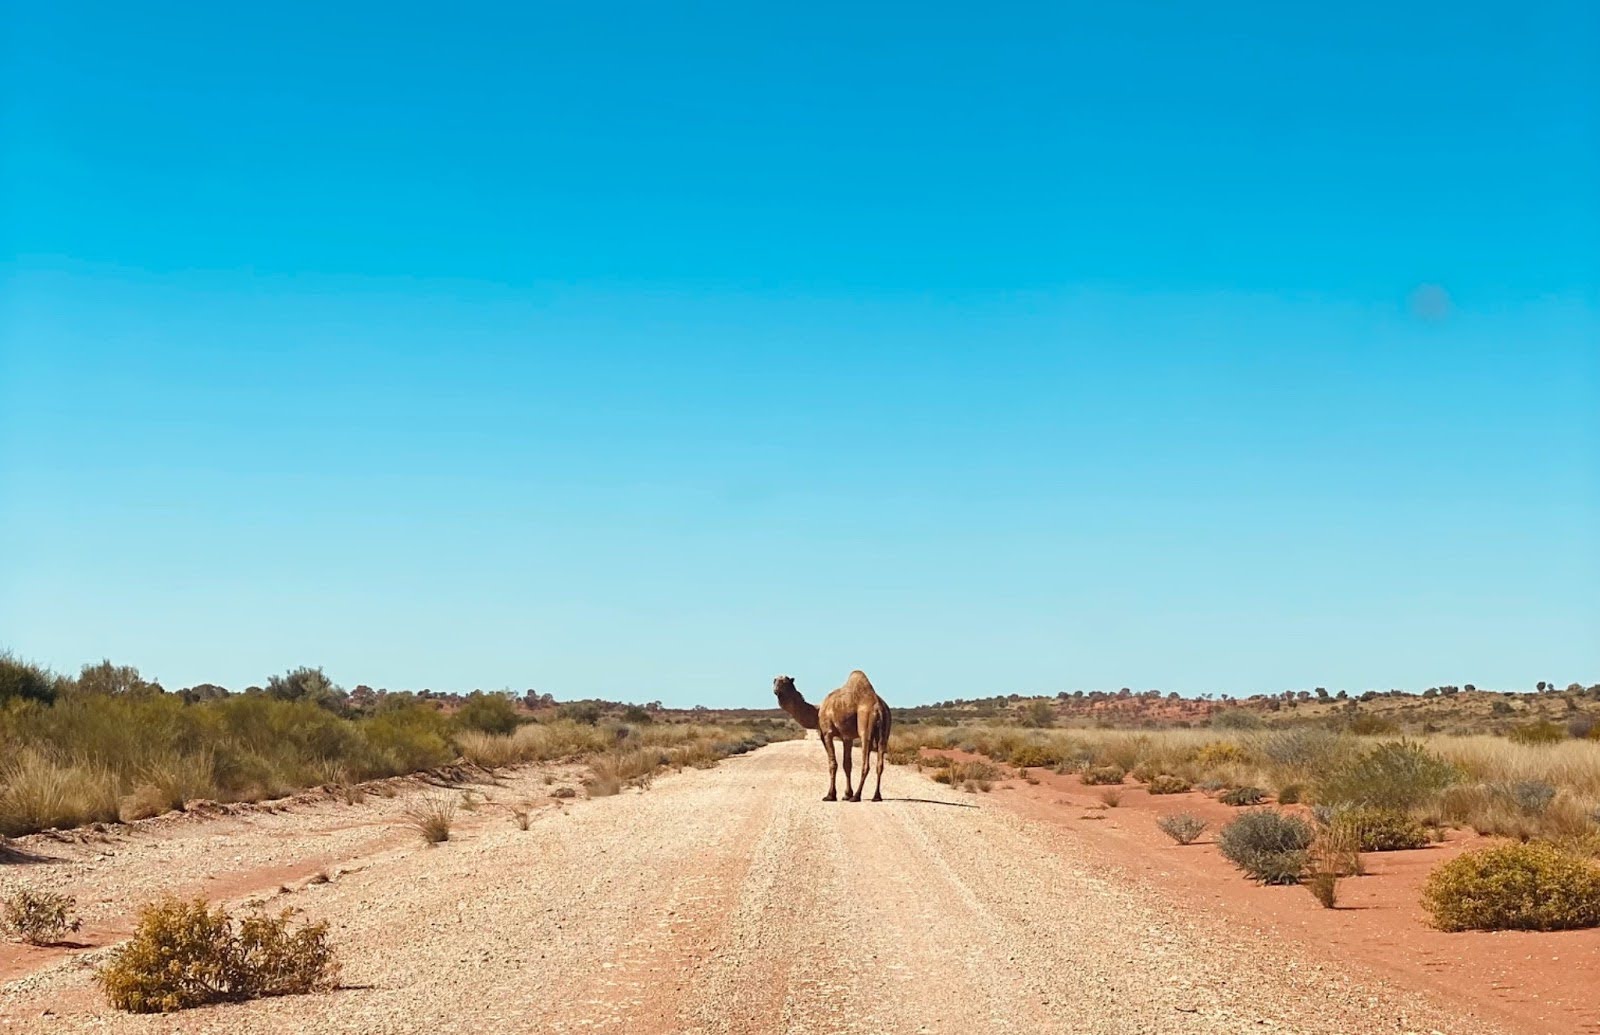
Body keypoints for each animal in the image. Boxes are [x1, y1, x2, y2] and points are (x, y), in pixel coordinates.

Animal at [771, 668, 896, 806]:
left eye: (785, 682)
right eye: (774, 681)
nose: (776, 690)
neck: (817, 712)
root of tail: (878, 706)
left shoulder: (827, 733)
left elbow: (832, 764)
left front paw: (830, 795)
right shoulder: (847, 737)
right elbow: (847, 764)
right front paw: (846, 794)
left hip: (865, 722)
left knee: (866, 762)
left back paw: (856, 796)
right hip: (885, 728)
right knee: (880, 762)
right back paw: (876, 796)